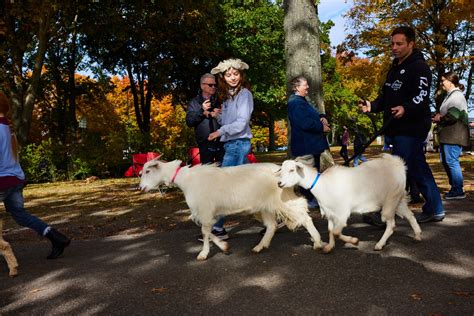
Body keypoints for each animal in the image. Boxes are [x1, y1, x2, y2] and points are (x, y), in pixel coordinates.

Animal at [137, 159, 322, 260]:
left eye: (148, 171)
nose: (141, 188)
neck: (186, 180)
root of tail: (283, 174)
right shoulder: (206, 212)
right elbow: (206, 231)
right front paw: (224, 246)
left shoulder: (205, 210)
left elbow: (204, 232)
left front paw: (203, 253)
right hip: (265, 205)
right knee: (271, 226)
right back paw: (259, 247)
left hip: (282, 200)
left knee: (304, 215)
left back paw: (318, 242)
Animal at [278, 154, 422, 253]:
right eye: (282, 170)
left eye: (292, 170)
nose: (279, 183)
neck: (323, 185)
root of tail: (399, 166)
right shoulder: (330, 213)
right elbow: (331, 230)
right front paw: (329, 247)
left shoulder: (342, 213)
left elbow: (336, 232)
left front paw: (354, 241)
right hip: (398, 199)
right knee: (410, 215)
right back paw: (417, 235)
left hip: (390, 201)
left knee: (391, 224)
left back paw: (379, 245)